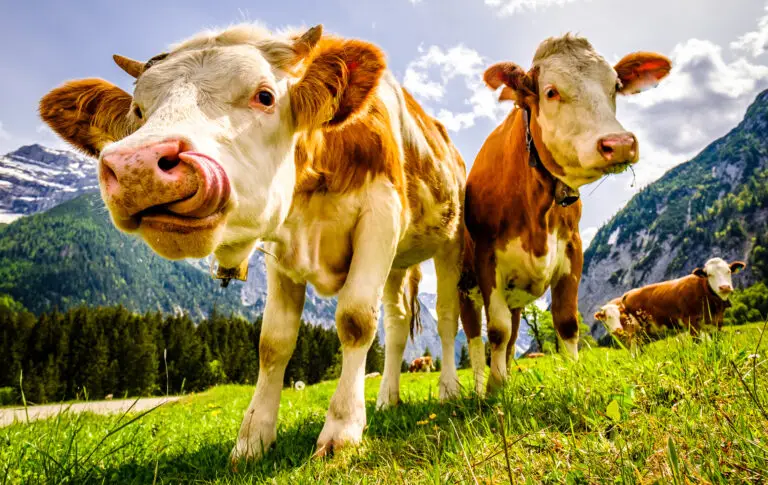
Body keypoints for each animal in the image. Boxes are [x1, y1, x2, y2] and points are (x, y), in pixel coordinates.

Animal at [38, 24, 466, 461]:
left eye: (265, 96)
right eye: (138, 112)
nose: (137, 166)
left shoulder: (382, 215)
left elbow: (355, 320)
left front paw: (341, 431)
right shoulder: (281, 247)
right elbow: (273, 342)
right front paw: (252, 439)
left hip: (450, 242)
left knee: (447, 317)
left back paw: (449, 389)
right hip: (398, 265)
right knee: (397, 325)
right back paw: (387, 399)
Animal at [458, 34, 672, 395]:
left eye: (615, 86)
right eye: (550, 92)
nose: (619, 143)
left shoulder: (573, 248)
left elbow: (566, 323)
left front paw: (574, 376)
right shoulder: (487, 259)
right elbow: (496, 330)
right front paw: (495, 390)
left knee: (512, 338)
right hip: (464, 286)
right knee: (475, 339)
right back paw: (479, 387)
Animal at [595, 258, 747, 344]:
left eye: (728, 271)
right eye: (709, 274)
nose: (725, 287)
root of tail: (627, 294)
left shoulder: (716, 323)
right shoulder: (690, 322)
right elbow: (699, 343)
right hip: (634, 335)